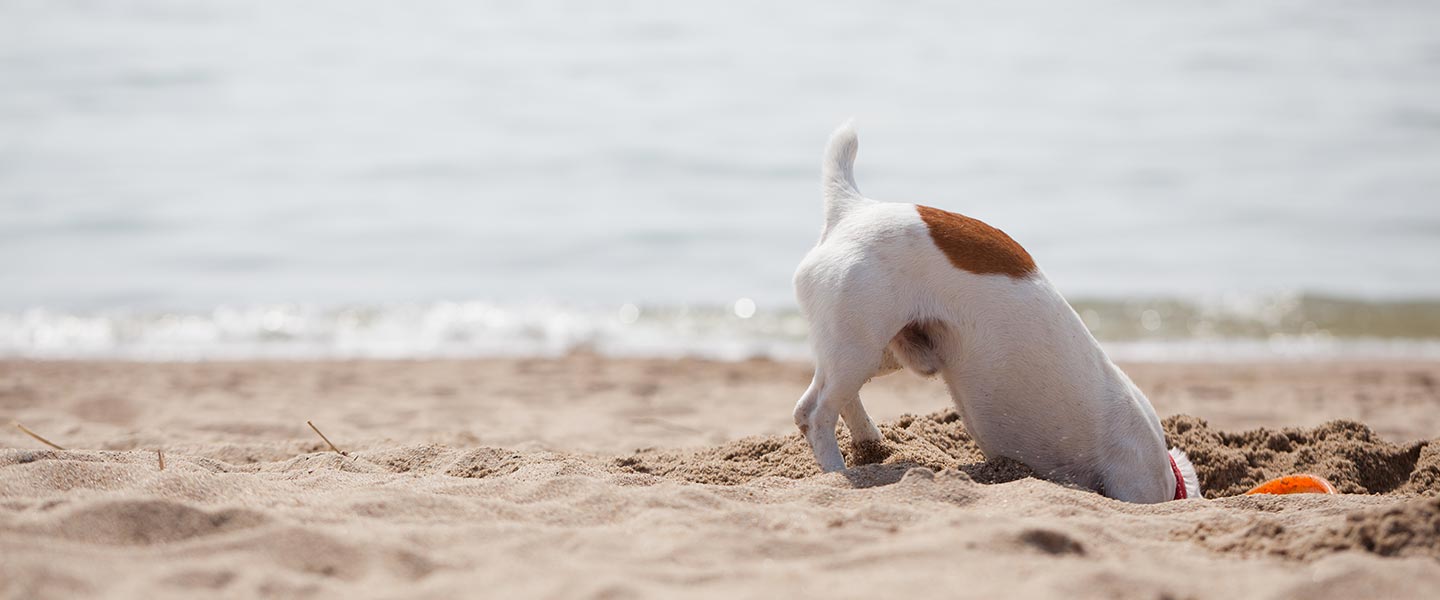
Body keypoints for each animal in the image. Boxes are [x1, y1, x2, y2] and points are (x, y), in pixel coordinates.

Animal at [794, 120, 1198, 500]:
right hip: (859, 350)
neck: (1170, 475)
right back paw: (836, 472)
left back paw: (871, 446)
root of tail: (854, 209)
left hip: (878, 352)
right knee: (815, 414)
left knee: (826, 403)